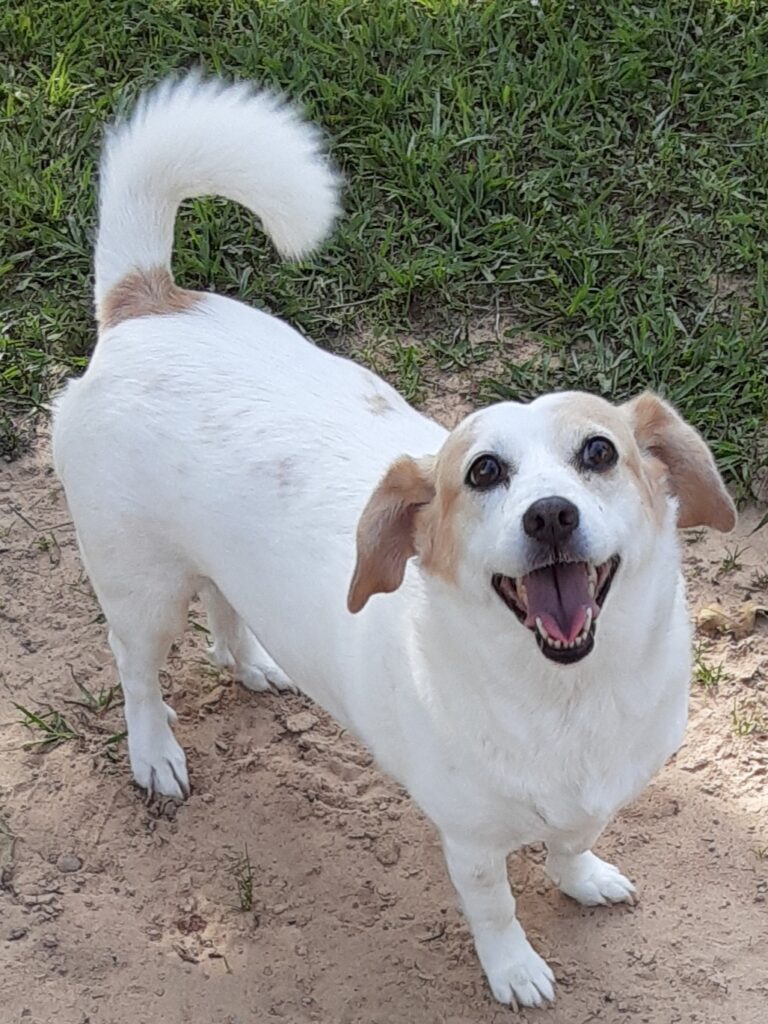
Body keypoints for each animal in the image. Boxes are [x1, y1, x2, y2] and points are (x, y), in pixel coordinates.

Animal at [52, 75, 736, 1008]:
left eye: (599, 452)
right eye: (482, 472)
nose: (550, 516)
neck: (566, 699)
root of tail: (145, 299)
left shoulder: (591, 798)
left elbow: (570, 843)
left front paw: (583, 878)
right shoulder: (471, 843)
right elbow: (496, 910)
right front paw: (515, 971)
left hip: (213, 563)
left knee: (225, 607)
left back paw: (254, 662)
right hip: (140, 591)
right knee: (137, 674)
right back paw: (154, 754)